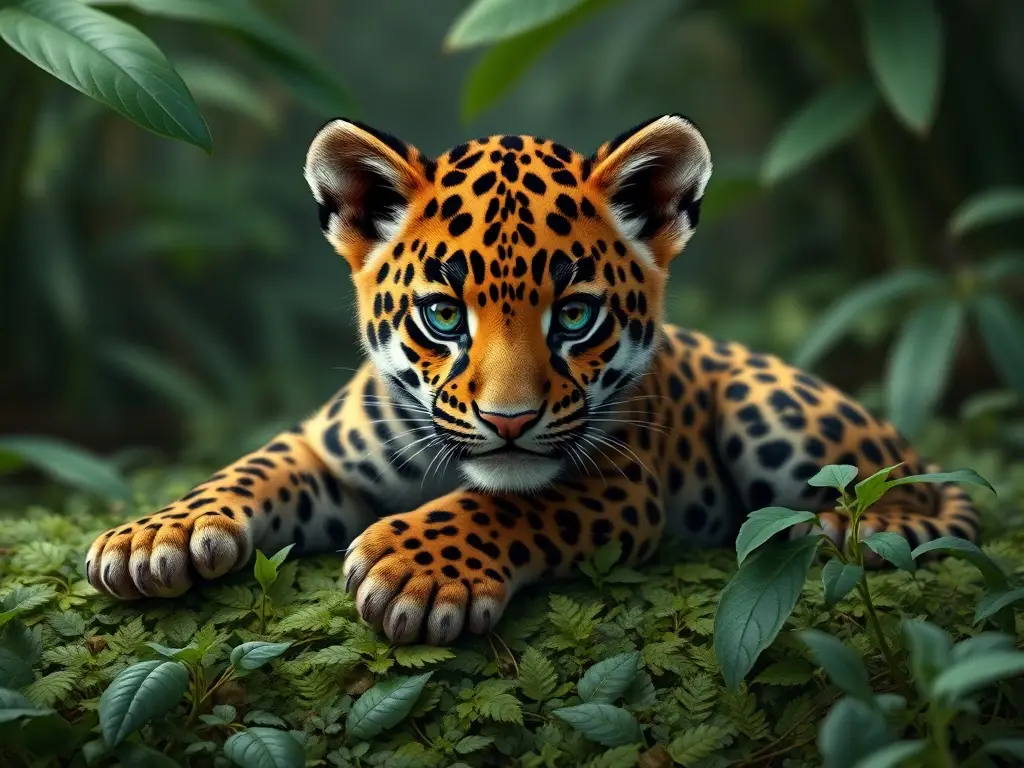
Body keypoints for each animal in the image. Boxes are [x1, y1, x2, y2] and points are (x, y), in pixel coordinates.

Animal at [86, 114, 979, 645]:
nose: (508, 420)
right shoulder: (326, 450)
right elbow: (254, 467)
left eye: (575, 316)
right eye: (444, 316)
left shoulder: (621, 482)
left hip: (776, 412)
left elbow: (509, 505)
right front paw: (153, 537)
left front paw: (415, 570)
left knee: (908, 496)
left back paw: (854, 525)